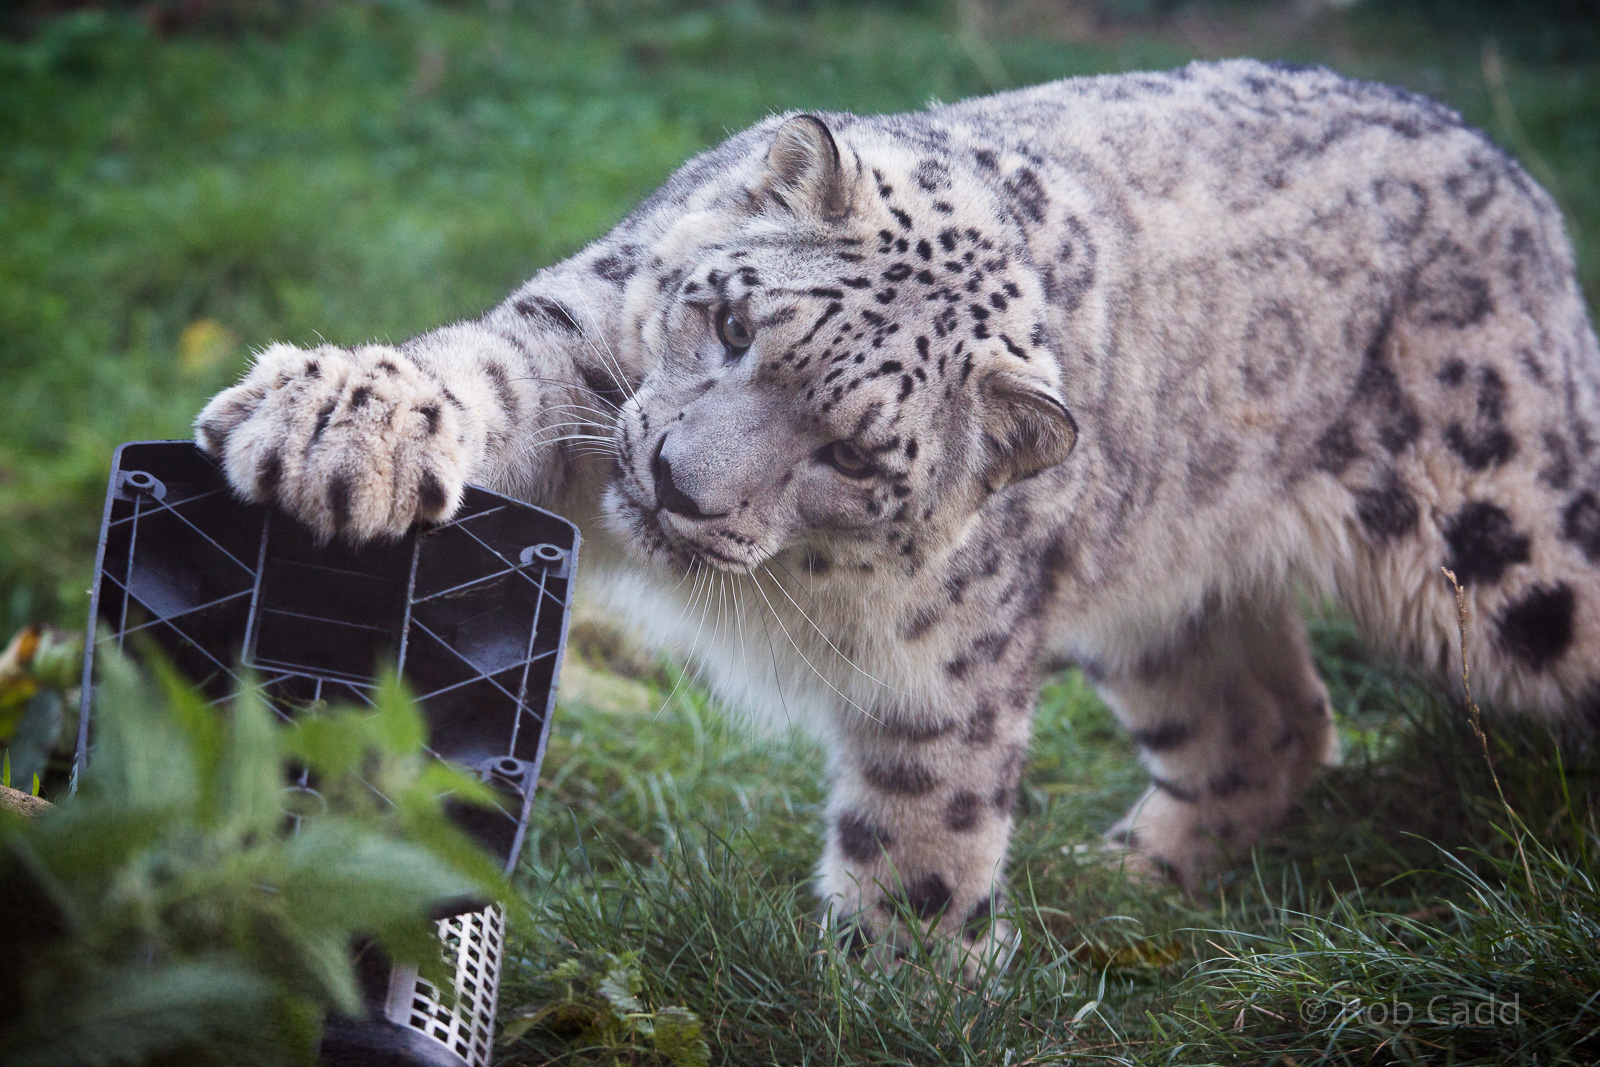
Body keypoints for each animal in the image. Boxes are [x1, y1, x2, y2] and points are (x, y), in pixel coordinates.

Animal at [196, 58, 1600, 970]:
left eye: (853, 453)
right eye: (729, 319)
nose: (678, 483)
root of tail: (1502, 161)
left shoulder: (943, 666)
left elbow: (924, 828)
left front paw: (893, 986)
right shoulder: (580, 350)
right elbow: (485, 370)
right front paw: (339, 426)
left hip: (1508, 542)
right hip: (1160, 594)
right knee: (1266, 723)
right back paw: (1118, 884)